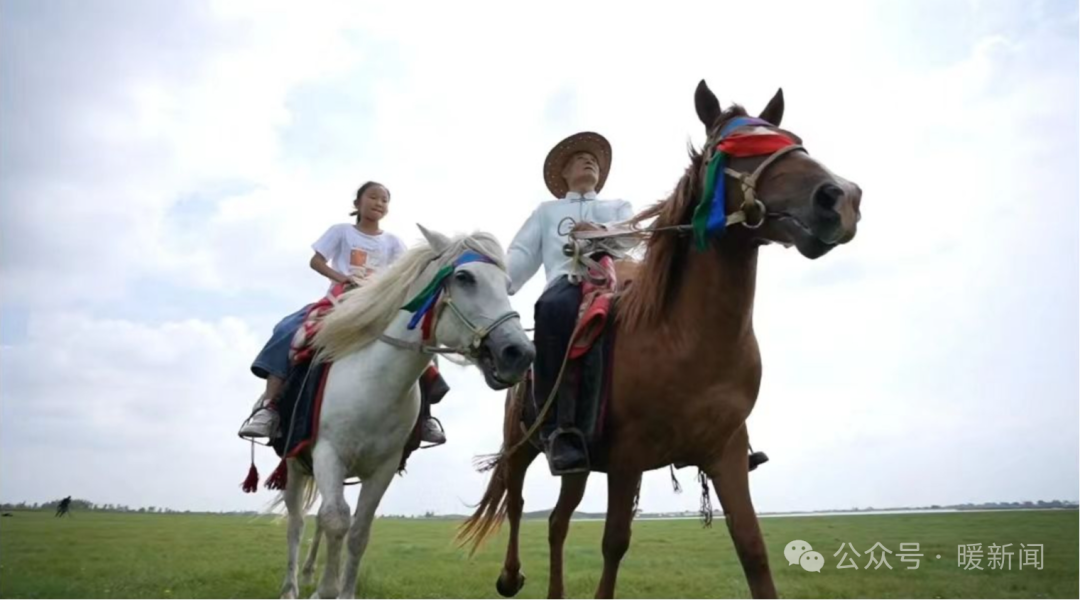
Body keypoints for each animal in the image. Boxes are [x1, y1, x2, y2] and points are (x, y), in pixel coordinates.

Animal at [276, 226, 533, 600]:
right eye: (464, 277)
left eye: (507, 285)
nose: (520, 353)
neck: (373, 382)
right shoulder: (328, 453)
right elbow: (337, 519)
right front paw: (325, 591)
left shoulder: (383, 466)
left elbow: (358, 531)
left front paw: (343, 591)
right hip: (297, 463)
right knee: (297, 522)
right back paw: (291, 587)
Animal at [455, 80, 859, 600]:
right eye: (732, 147)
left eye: (791, 138)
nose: (840, 198)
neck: (686, 339)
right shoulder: (629, 458)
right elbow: (614, 542)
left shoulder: (727, 453)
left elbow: (752, 547)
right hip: (524, 443)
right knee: (518, 498)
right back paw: (509, 576)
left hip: (577, 462)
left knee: (558, 522)